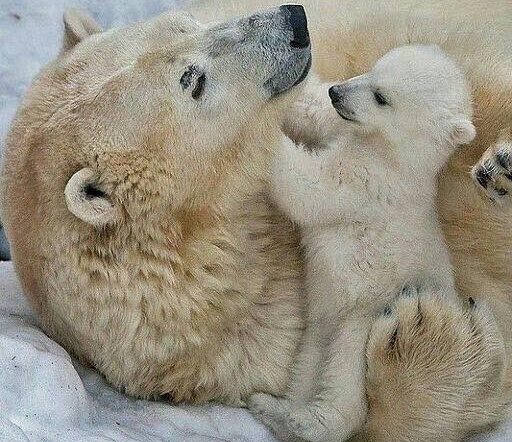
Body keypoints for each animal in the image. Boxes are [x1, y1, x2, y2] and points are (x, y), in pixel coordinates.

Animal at [1, 0, 512, 442]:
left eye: (187, 23)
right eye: (193, 79)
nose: (294, 21)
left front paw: (498, 162)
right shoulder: (249, 341)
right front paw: (430, 330)